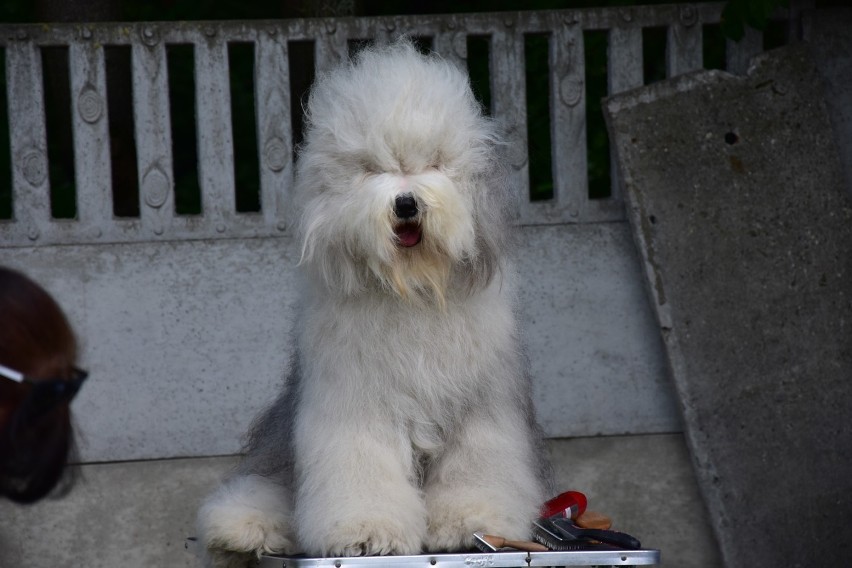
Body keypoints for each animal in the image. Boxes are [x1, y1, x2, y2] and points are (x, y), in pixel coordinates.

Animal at [196, 37, 548, 564]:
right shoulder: (354, 403)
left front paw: (471, 524)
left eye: (433, 163)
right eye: (372, 169)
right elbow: (361, 468)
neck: (414, 291)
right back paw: (243, 528)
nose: (406, 204)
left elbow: (477, 469)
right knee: (263, 485)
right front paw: (367, 534)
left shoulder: (482, 409)